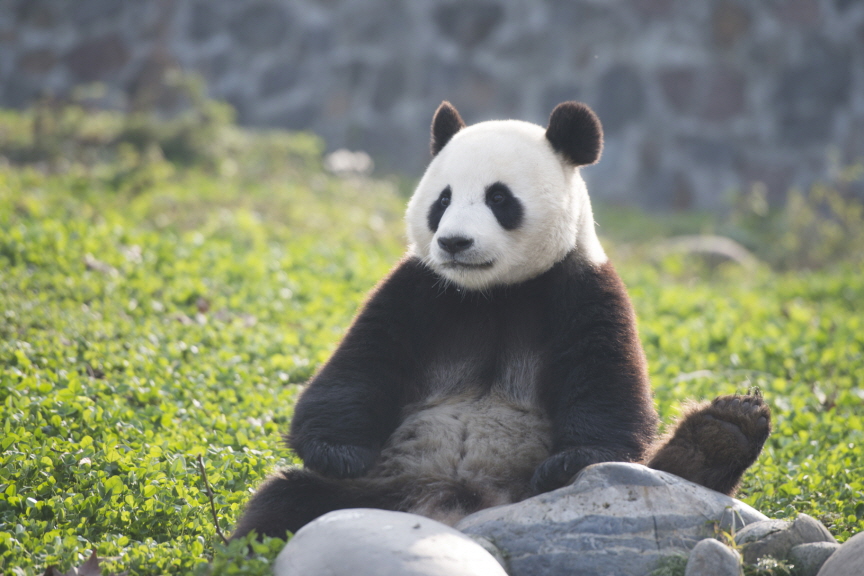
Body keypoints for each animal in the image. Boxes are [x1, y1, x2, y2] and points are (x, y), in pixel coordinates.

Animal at [233, 100, 772, 540]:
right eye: (443, 199)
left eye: (499, 198)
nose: (455, 243)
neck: (491, 294)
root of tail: (448, 509)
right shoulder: (419, 287)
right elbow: (361, 363)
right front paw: (338, 451)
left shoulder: (580, 287)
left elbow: (606, 387)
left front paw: (570, 460)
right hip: (372, 491)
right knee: (285, 502)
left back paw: (718, 437)